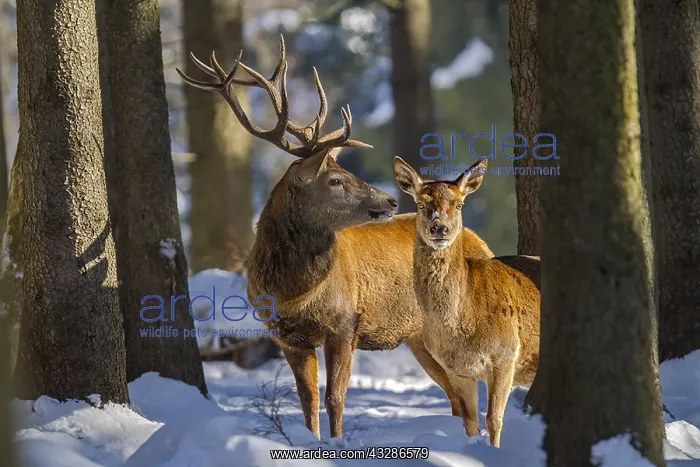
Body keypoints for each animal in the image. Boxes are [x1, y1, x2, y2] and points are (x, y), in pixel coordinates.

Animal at [177, 36, 495, 440]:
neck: (293, 292)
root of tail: (481, 242)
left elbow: (335, 399)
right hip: (419, 338)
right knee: (456, 396)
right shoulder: (287, 338)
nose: (391, 200)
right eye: (334, 179)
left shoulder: (345, 325)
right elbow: (307, 400)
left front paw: (338, 443)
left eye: (343, 168)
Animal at [392, 156, 541, 448]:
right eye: (420, 204)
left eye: (459, 204)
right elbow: (469, 421)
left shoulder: (506, 355)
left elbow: (494, 419)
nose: (439, 228)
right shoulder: (455, 369)